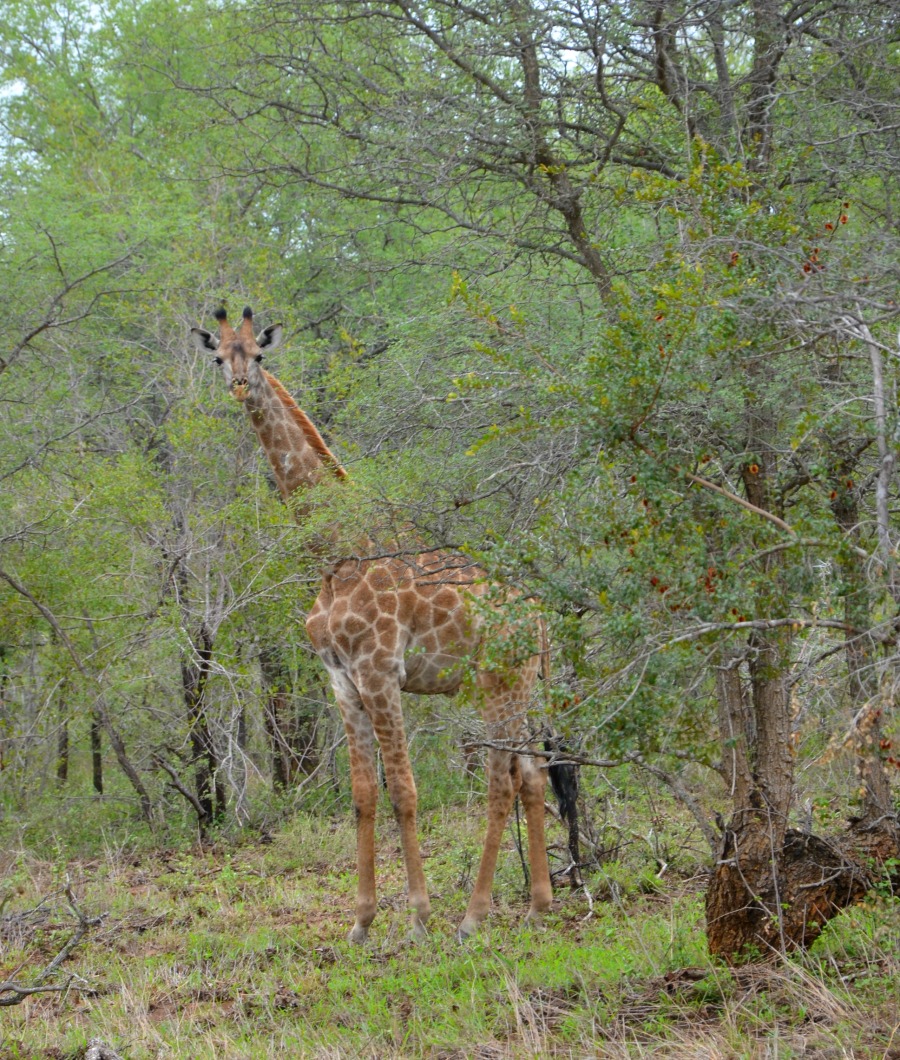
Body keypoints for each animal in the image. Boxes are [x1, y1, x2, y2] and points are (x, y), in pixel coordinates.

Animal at [192, 309, 551, 945]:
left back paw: (473, 916)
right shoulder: (342, 679)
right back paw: (537, 906)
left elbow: (404, 791)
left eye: (258, 356)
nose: (239, 387)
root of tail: (537, 614)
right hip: (522, 684)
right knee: (532, 773)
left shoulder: (380, 671)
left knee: (502, 780)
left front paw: (419, 918)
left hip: (497, 683)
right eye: (218, 357)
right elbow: (363, 796)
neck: (335, 554)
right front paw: (361, 922)